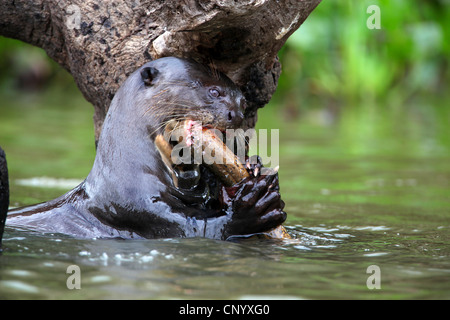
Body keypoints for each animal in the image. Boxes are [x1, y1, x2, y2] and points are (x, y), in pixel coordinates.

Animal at [5, 57, 286, 240]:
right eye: (214, 91)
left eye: (243, 101)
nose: (236, 114)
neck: (130, 171)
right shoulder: (136, 208)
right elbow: (200, 229)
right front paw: (253, 207)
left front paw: (254, 166)